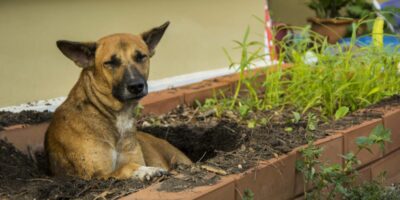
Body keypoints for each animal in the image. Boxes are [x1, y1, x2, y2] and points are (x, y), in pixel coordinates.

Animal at [45, 22, 192, 181]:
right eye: (110, 63)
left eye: (141, 57)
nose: (136, 86)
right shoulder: (96, 175)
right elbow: (125, 167)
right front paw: (146, 171)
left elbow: (130, 163)